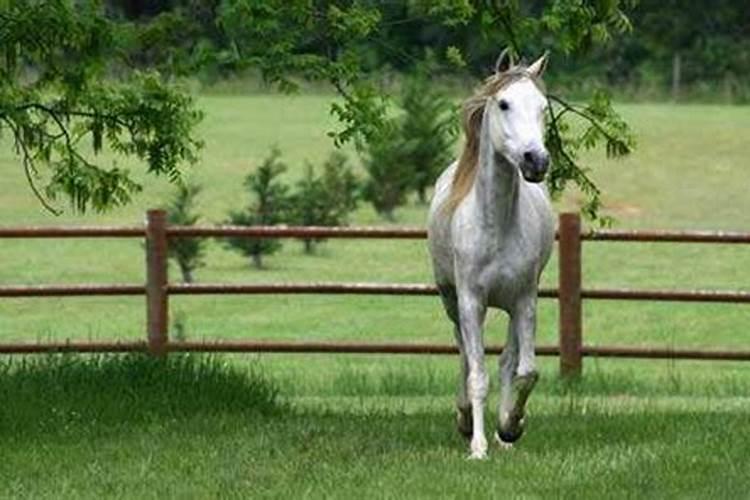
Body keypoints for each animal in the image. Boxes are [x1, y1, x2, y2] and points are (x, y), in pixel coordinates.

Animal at [426, 51, 556, 460]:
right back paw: (465, 418)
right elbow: (477, 374)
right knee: (465, 355)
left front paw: (510, 427)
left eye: (543, 107)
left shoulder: (525, 300)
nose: (536, 161)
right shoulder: (471, 302)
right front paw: (478, 446)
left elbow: (524, 370)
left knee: (507, 360)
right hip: (450, 301)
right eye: (504, 104)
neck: (496, 226)